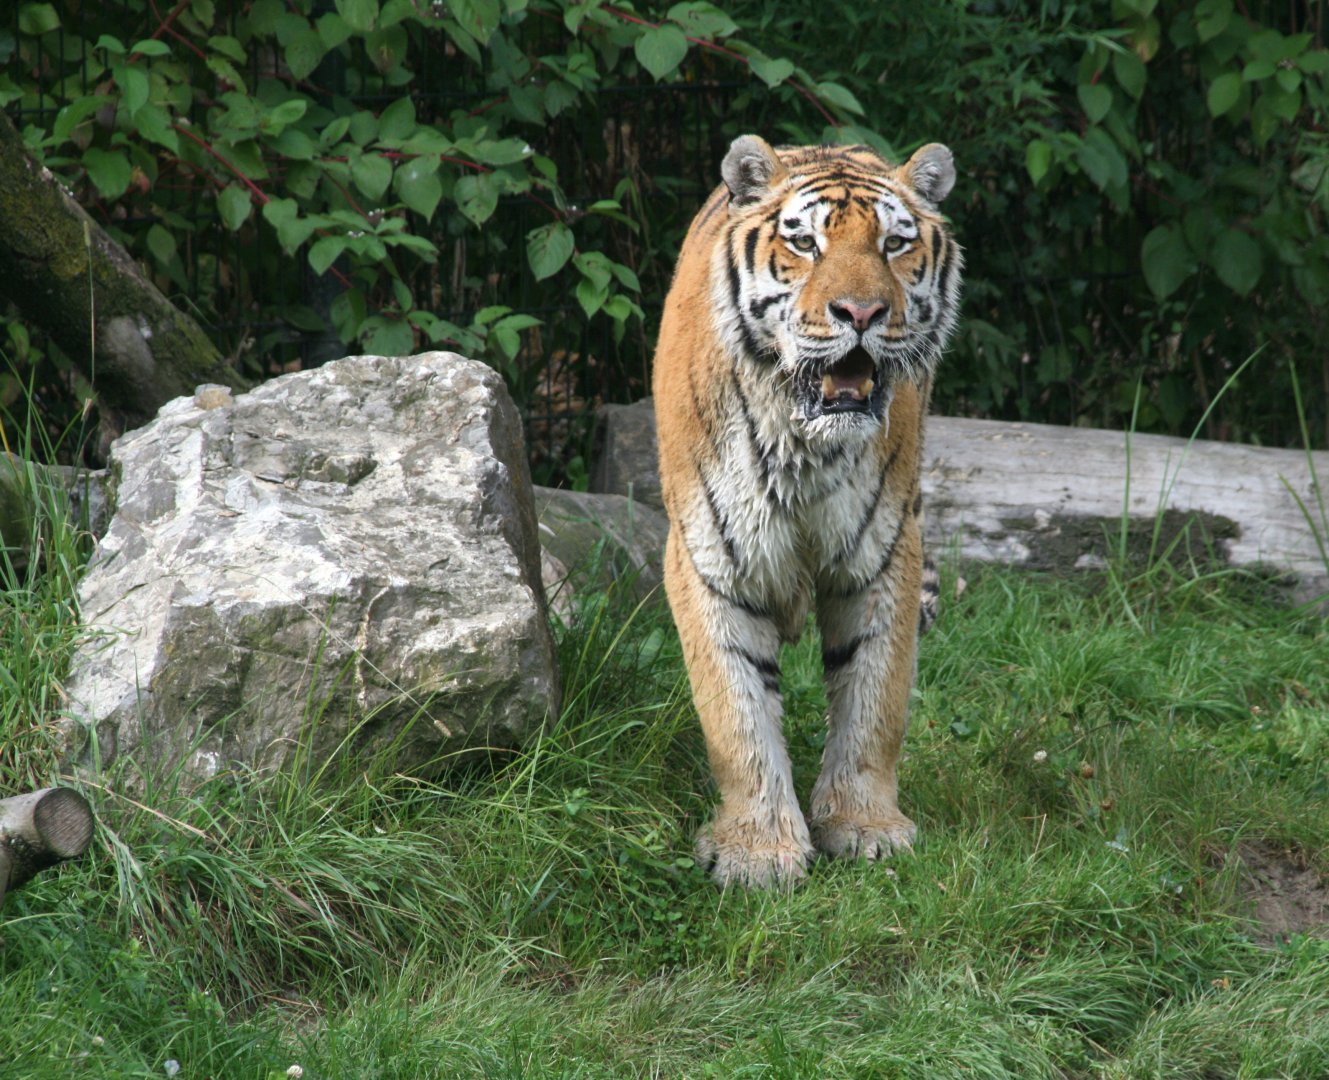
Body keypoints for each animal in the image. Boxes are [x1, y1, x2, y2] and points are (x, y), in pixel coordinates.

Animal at [652, 135, 962, 888]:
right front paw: (758, 851)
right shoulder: (709, 555)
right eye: (804, 242)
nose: (861, 314)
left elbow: (874, 697)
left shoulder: (884, 552)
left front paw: (863, 826)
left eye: (894, 243)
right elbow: (736, 713)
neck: (805, 446)